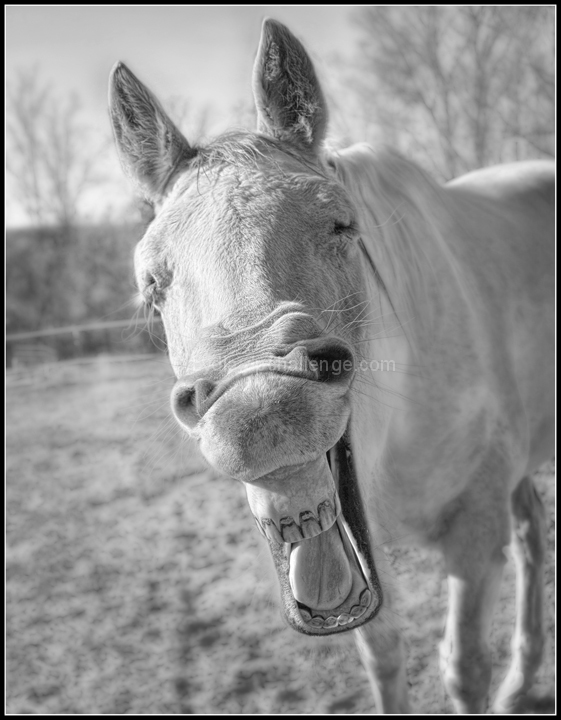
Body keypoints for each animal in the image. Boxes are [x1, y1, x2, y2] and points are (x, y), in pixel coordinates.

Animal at [107, 18, 552, 716]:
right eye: (152, 281)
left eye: (342, 224)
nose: (261, 413)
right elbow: (385, 659)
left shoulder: (474, 538)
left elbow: (462, 667)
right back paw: (520, 681)